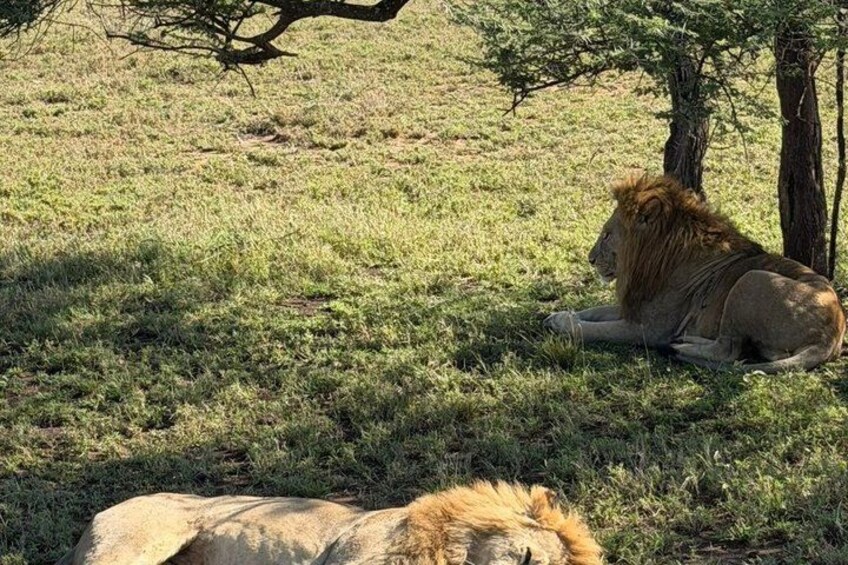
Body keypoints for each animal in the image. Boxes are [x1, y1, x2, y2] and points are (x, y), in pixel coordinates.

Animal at [544, 174, 845, 373]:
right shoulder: (636, 307)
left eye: (607, 235)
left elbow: (593, 330)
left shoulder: (650, 329)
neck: (651, 260)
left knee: (727, 351)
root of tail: (833, 331)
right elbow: (594, 311)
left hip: (750, 280)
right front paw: (559, 314)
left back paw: (681, 347)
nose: (591, 259)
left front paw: (563, 324)